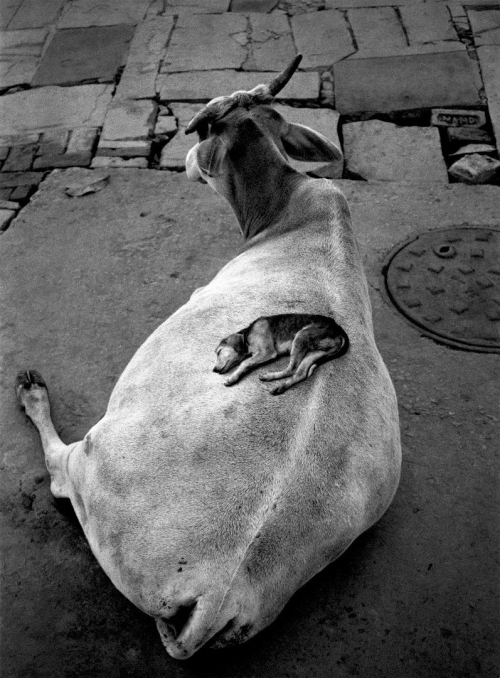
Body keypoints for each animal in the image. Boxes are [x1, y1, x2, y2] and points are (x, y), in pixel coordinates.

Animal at [14, 55, 402, 660]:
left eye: (201, 130)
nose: (186, 161)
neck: (285, 212)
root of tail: (219, 592)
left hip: (92, 462)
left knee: (59, 468)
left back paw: (33, 392)